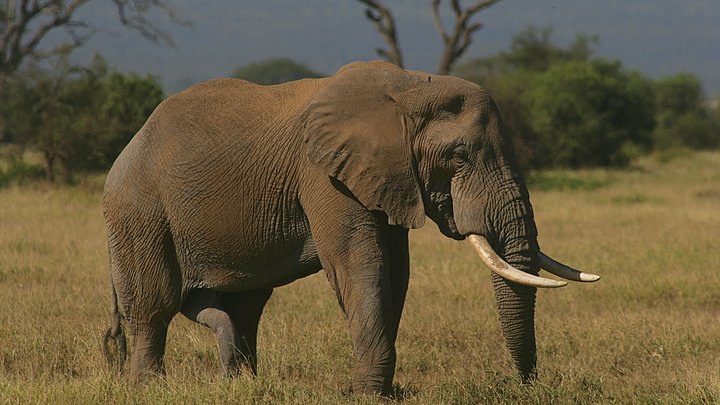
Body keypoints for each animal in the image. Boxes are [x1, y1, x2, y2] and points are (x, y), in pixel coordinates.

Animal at [100, 60, 596, 394]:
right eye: (458, 156)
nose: (527, 384)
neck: (408, 87)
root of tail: (126, 149)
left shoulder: (389, 178)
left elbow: (397, 273)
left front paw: (380, 391)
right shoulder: (325, 176)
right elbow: (362, 265)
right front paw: (369, 394)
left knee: (244, 307)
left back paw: (243, 385)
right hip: (139, 213)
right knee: (153, 306)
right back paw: (150, 389)